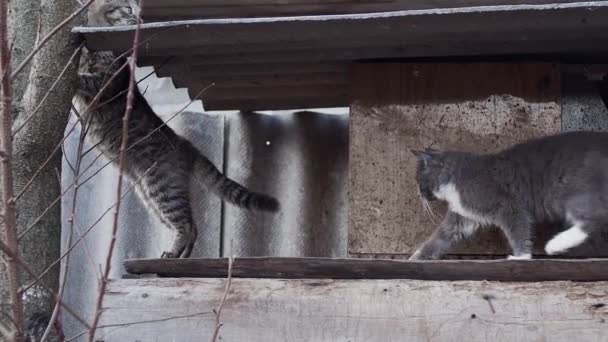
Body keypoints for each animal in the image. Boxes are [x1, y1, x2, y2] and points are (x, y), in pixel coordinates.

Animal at [77, 0, 282, 256]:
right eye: (129, 9)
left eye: (137, 11)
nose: (139, 20)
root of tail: (185, 144)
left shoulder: (105, 82)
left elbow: (86, 79)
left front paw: (76, 76)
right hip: (149, 195)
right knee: (191, 227)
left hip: (163, 187)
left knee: (187, 224)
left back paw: (174, 253)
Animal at [408, 131, 608, 260]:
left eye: (418, 179)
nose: (419, 194)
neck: (456, 178)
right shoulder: (461, 218)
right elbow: (439, 238)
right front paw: (416, 257)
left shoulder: (509, 207)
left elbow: (517, 232)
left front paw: (521, 257)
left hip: (571, 191)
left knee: (593, 219)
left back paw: (555, 245)